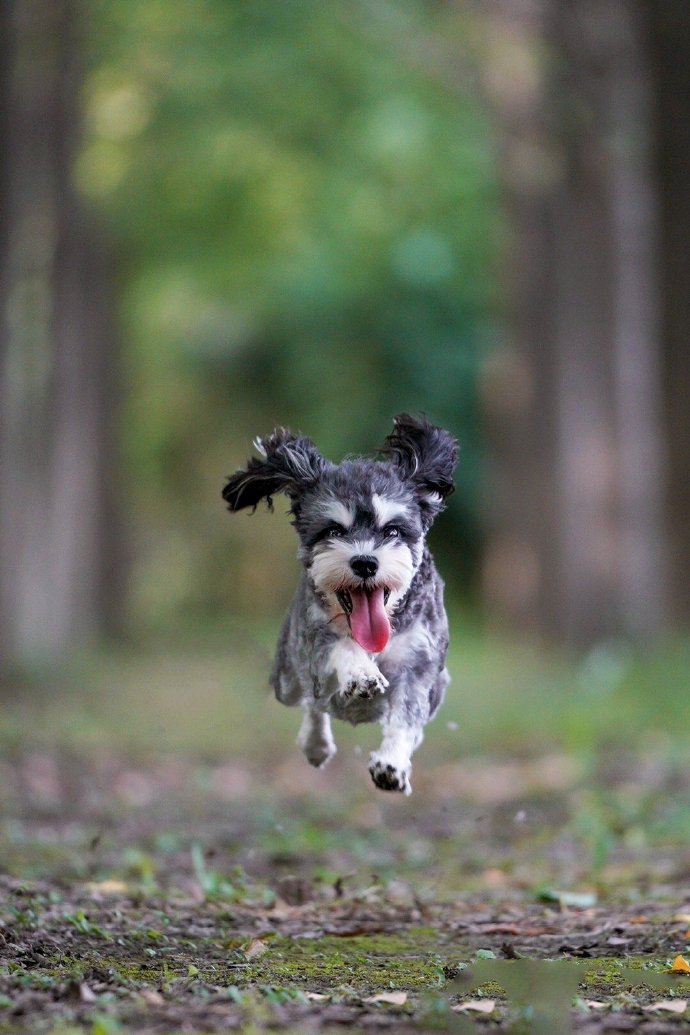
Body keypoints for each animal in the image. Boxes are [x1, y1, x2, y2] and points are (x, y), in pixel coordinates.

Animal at [222, 411, 459, 790]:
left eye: (392, 530)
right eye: (333, 530)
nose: (365, 562)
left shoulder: (419, 664)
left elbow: (406, 718)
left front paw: (391, 764)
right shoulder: (315, 645)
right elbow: (339, 653)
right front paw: (362, 675)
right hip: (286, 678)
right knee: (312, 704)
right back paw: (316, 744)